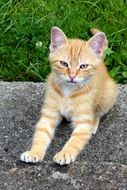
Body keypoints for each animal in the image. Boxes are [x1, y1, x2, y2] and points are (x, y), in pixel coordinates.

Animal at [20, 26, 118, 165]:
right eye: (64, 64)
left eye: (83, 66)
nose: (72, 76)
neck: (68, 90)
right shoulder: (49, 115)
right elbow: (41, 134)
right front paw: (34, 152)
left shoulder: (83, 122)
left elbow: (74, 141)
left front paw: (65, 153)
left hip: (109, 95)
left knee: (99, 112)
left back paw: (93, 124)